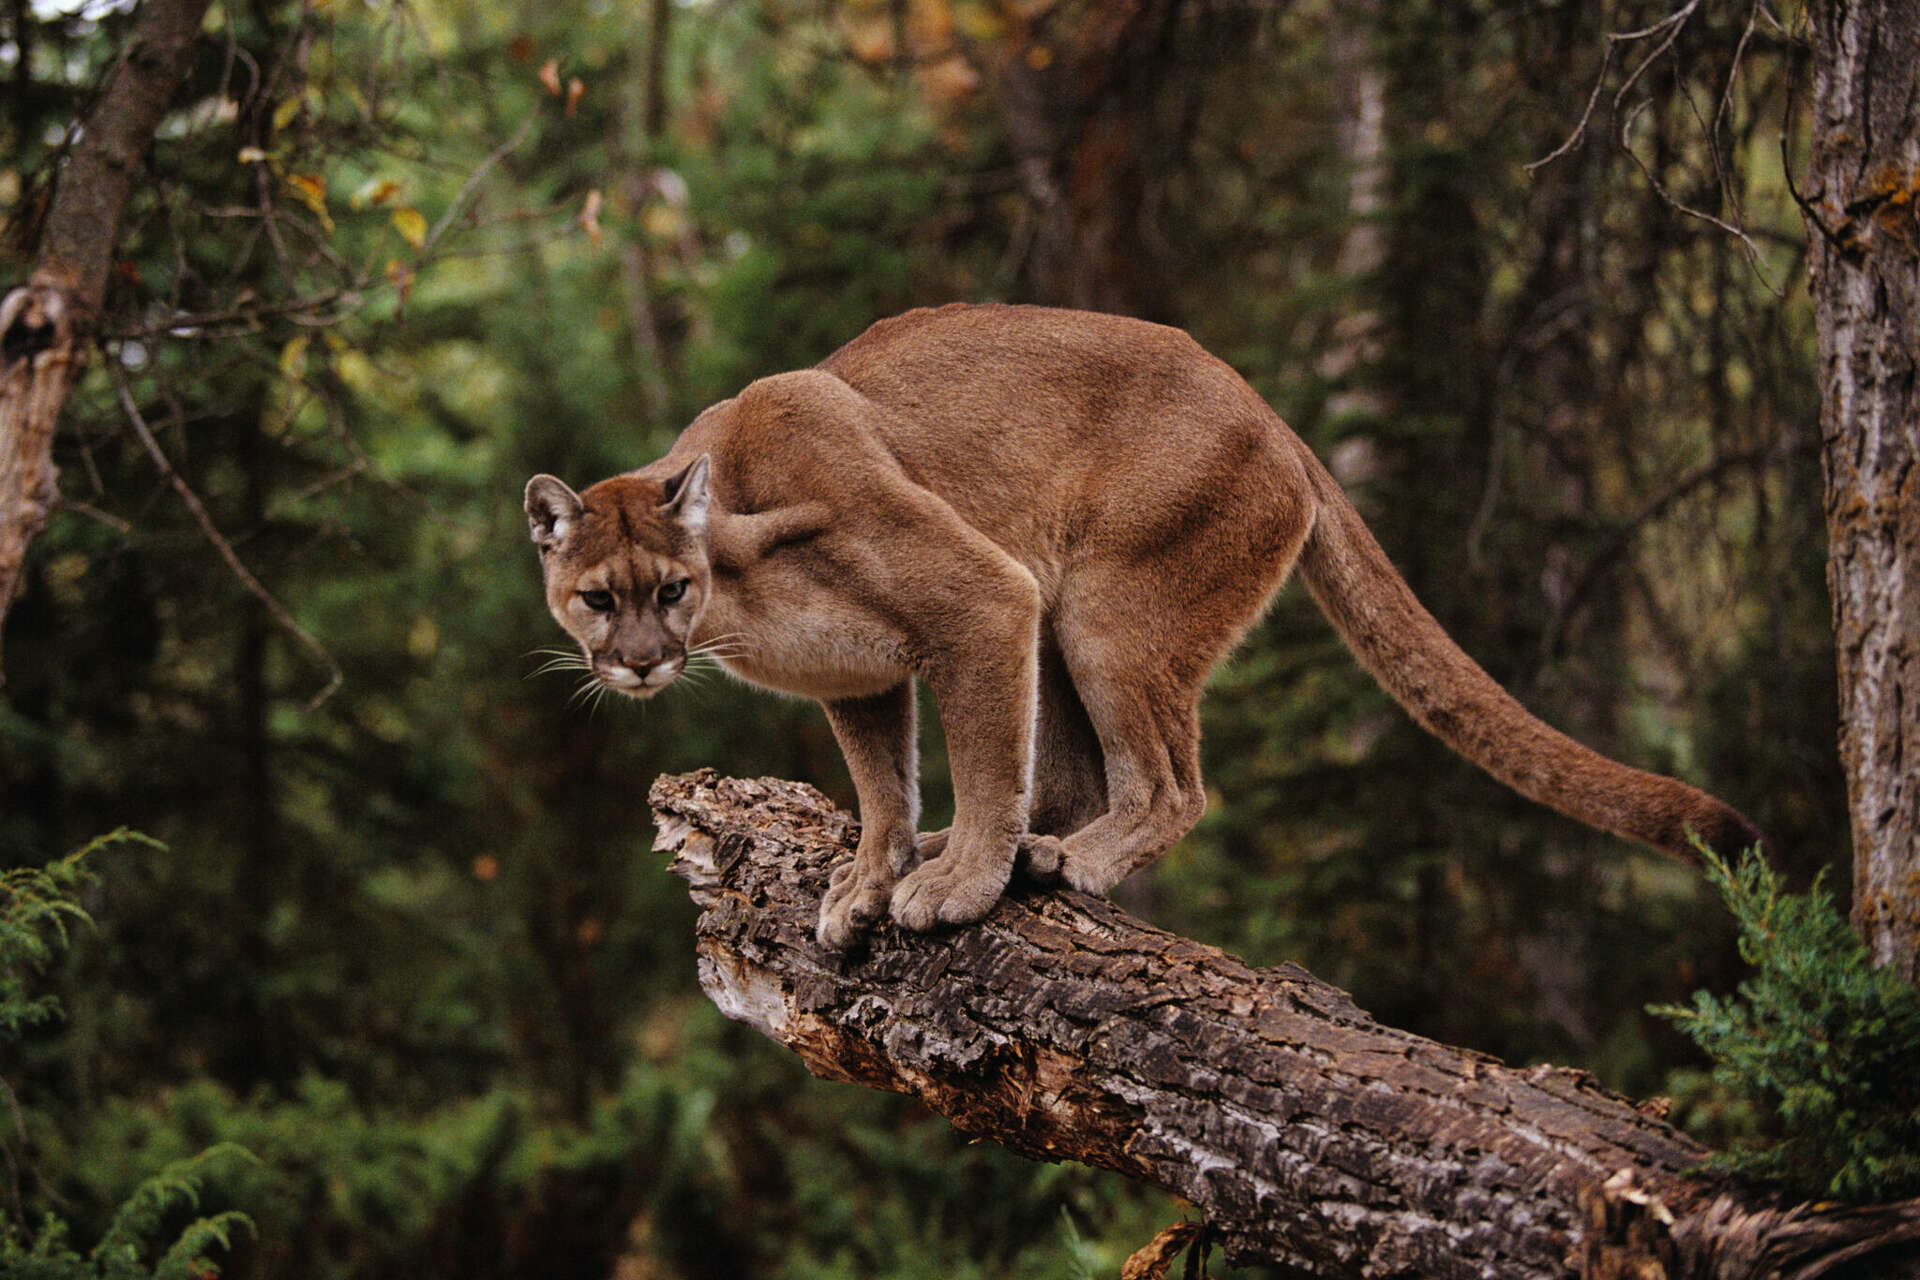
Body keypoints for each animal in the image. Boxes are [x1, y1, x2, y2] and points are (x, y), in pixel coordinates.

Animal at [522, 303, 1758, 951]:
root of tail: (1269, 410)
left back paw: (1063, 860)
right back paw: (1035, 848)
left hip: (1103, 611)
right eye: (597, 598)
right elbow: (884, 785)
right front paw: (873, 876)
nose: (640, 665)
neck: (739, 580)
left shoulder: (982, 597)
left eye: (667, 591)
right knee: (1075, 776)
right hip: (1066, 623)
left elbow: (981, 760)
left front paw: (953, 885)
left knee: (1169, 782)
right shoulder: (861, 678)